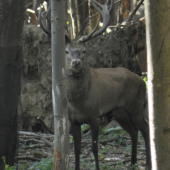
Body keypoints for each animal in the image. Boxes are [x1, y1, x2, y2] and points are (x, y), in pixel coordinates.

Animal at [36, 0, 151, 170]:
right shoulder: (73, 120)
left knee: (145, 128)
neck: (79, 103)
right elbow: (76, 148)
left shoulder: (94, 116)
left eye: (83, 51)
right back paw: (133, 162)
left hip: (135, 106)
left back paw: (148, 163)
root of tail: (141, 80)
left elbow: (94, 147)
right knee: (133, 131)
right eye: (67, 51)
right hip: (119, 111)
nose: (76, 63)